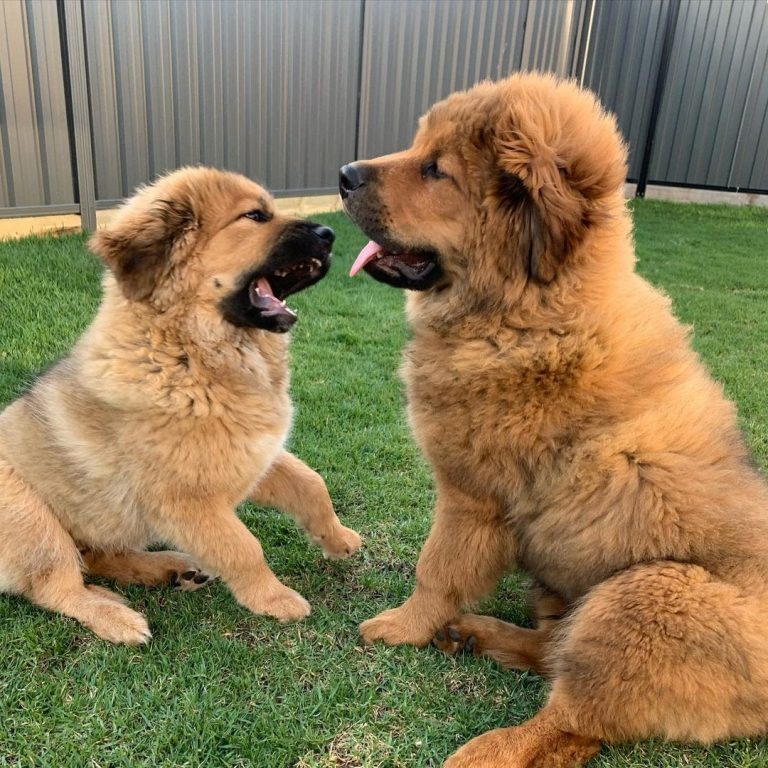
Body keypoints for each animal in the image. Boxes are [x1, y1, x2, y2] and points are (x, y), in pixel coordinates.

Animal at [0, 166, 364, 640]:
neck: (186, 353)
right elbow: (243, 546)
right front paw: (274, 599)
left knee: (99, 556)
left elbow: (311, 484)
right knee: (58, 587)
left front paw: (337, 539)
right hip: (31, 519)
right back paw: (116, 617)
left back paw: (169, 569)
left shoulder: (251, 458)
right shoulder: (186, 501)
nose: (329, 233)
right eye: (254, 216)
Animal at [340, 73, 768, 768]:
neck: (531, 311)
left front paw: (402, 627)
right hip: (565, 587)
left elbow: (437, 570)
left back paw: (485, 748)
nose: (344, 174)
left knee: (572, 722)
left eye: (436, 170)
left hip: (646, 596)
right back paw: (477, 635)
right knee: (554, 654)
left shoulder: (470, 496)